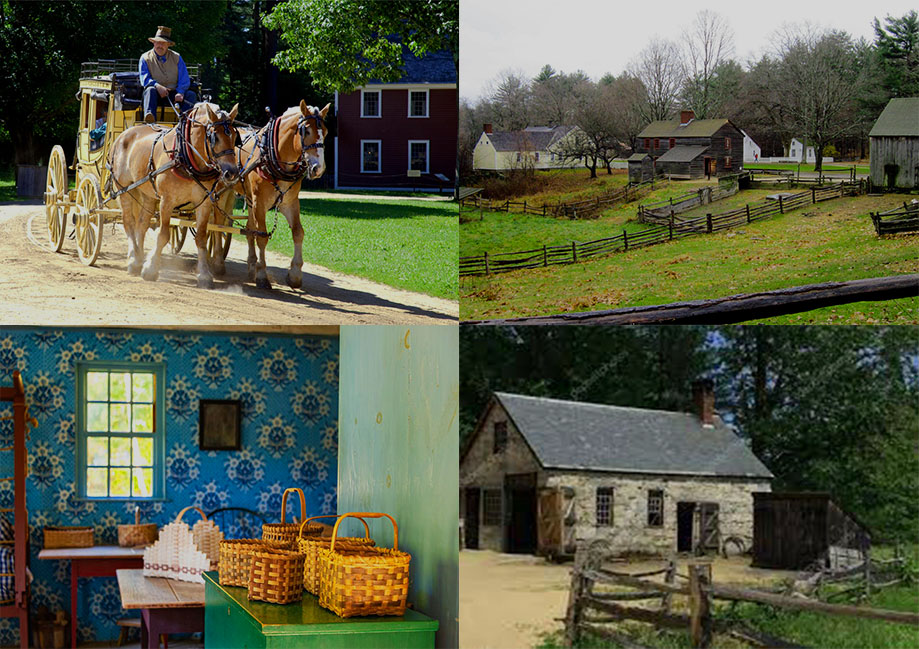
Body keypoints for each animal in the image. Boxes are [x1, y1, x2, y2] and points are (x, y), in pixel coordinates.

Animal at [110, 102, 241, 288]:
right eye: (214, 137)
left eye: (235, 136)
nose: (232, 172)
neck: (187, 158)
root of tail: (124, 134)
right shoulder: (167, 201)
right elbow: (163, 234)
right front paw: (151, 269)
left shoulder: (204, 202)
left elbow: (201, 237)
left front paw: (204, 274)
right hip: (125, 189)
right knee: (129, 222)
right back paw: (134, 261)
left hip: (148, 193)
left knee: (141, 224)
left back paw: (139, 256)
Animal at [232, 99, 328, 288]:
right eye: (306, 130)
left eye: (326, 132)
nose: (318, 168)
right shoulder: (260, 203)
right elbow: (262, 236)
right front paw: (262, 275)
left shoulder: (289, 203)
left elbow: (298, 232)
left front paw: (295, 274)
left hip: (250, 200)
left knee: (249, 229)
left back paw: (251, 265)